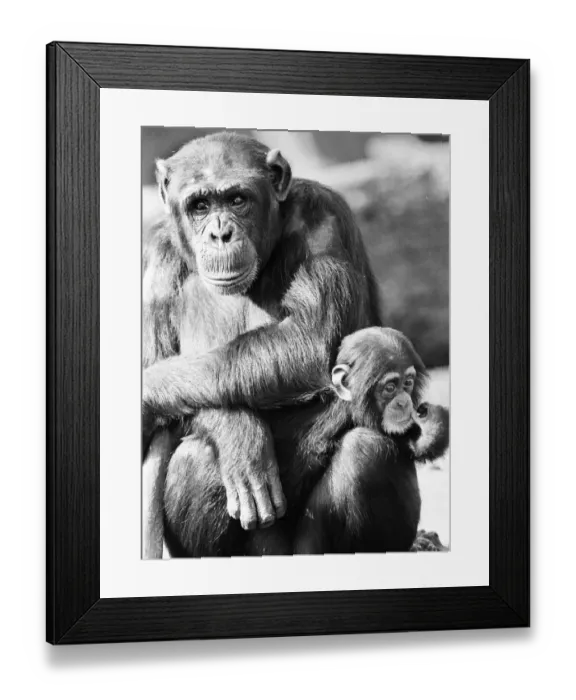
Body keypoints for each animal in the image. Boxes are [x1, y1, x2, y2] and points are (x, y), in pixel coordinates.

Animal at [142, 131, 383, 557]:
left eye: (237, 199)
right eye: (200, 205)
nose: (220, 233)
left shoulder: (322, 219)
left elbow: (310, 341)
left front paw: (148, 387)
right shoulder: (158, 262)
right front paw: (239, 434)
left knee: (364, 452)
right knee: (195, 461)